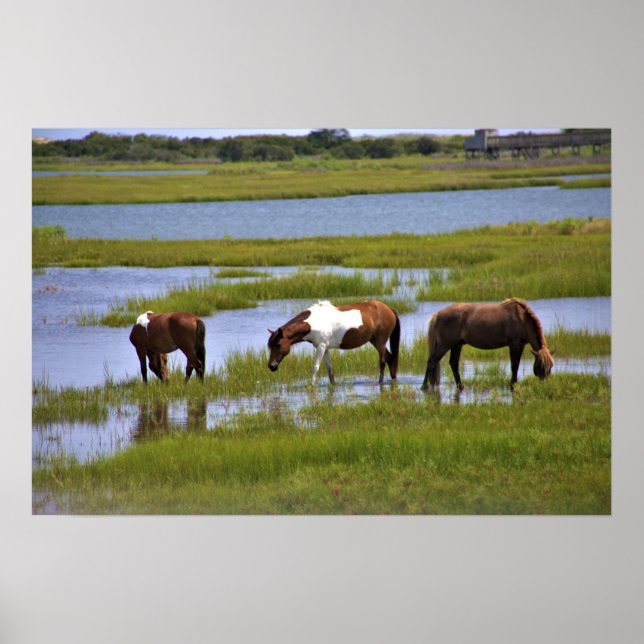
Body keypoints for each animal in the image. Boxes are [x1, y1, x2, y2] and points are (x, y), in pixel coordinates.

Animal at [267, 300, 400, 385]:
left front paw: (311, 386)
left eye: (278, 345)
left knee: (382, 361)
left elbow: (315, 368)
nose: (271, 366)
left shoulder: (321, 347)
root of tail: (389, 309)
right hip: (374, 341)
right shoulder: (325, 348)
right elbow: (330, 370)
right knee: (390, 358)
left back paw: (380, 382)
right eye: (270, 346)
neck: (314, 321)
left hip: (381, 341)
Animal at [420, 298, 554, 391]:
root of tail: (438, 314)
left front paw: (514, 384)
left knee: (453, 363)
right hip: (445, 345)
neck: (521, 319)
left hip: (457, 345)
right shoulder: (514, 345)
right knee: (432, 362)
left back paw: (460, 387)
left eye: (551, 366)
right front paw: (512, 385)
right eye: (540, 366)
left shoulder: (520, 345)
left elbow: (516, 365)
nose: (544, 385)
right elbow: (514, 366)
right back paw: (424, 387)